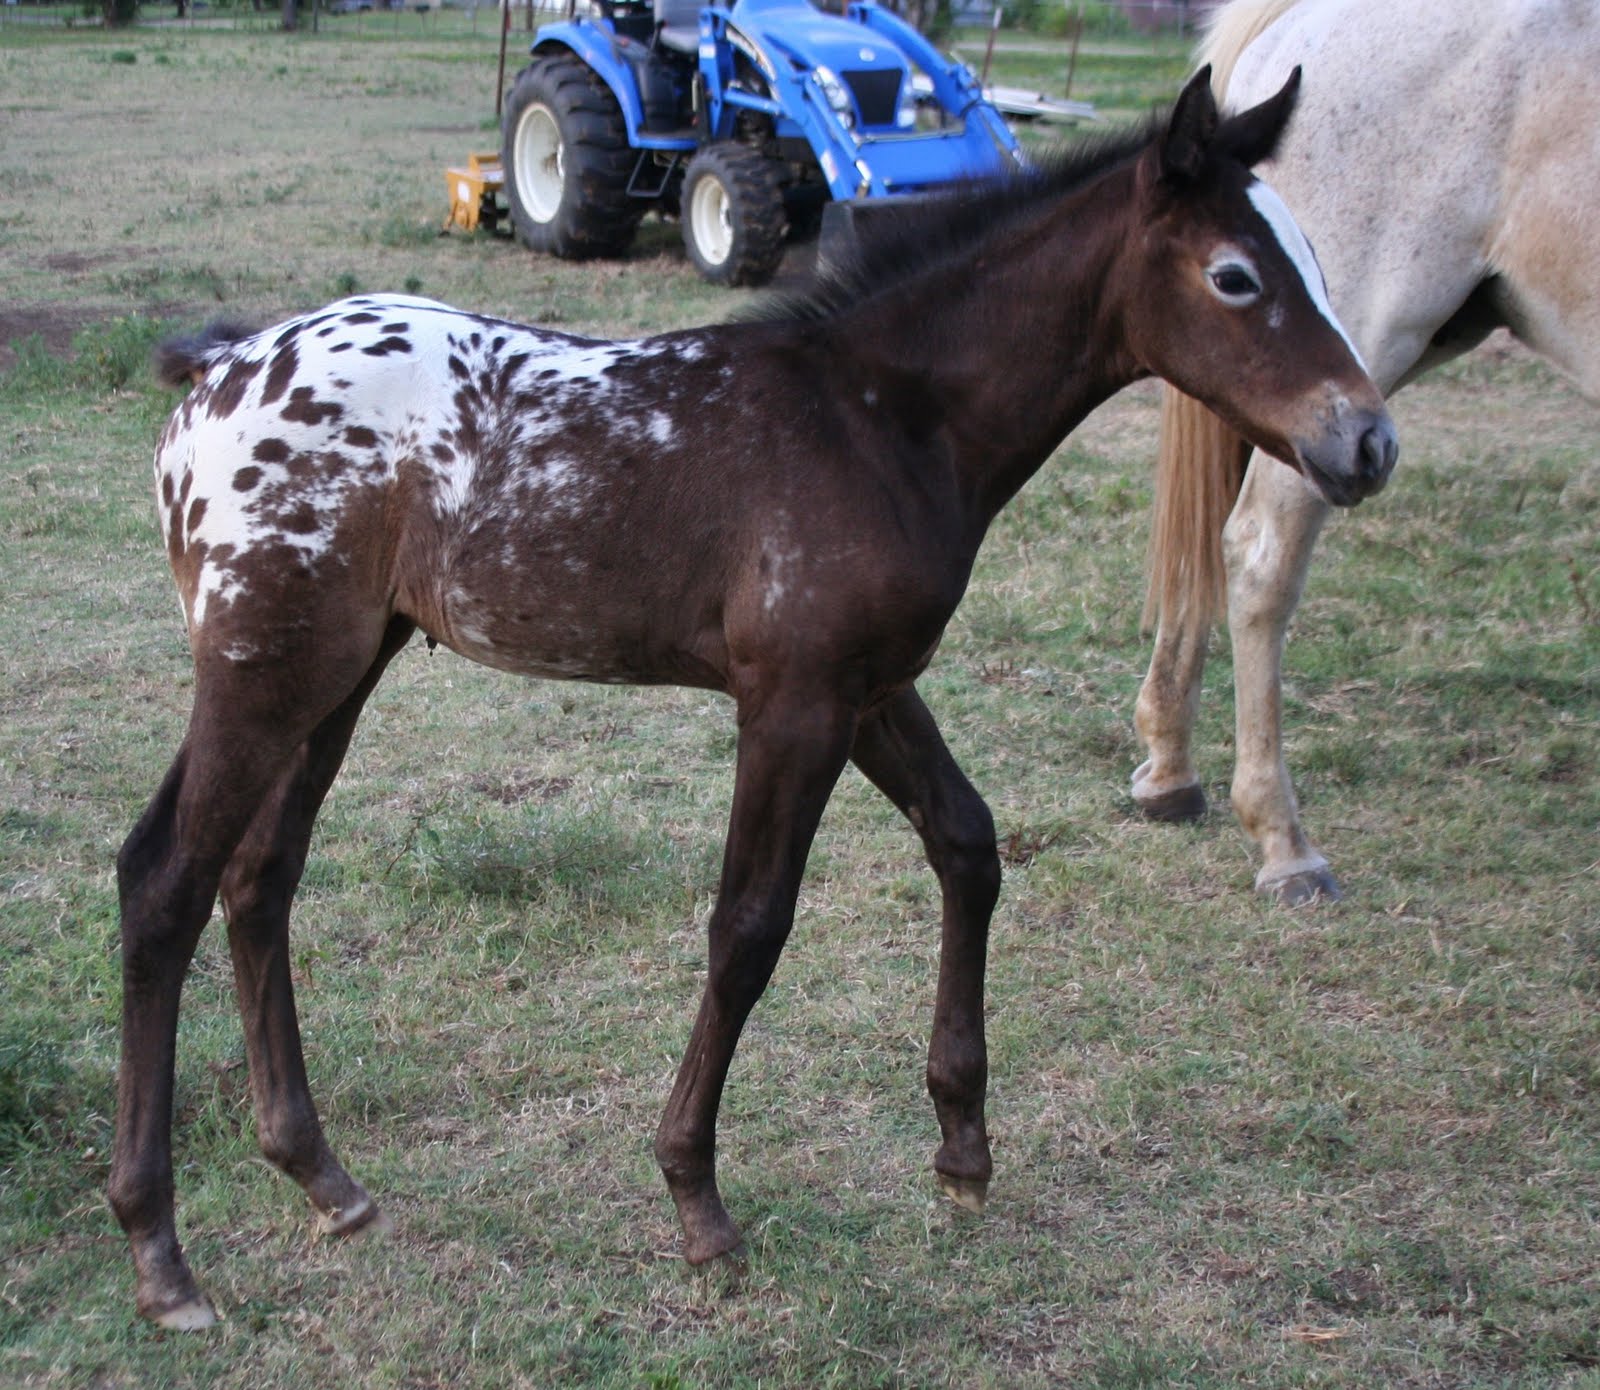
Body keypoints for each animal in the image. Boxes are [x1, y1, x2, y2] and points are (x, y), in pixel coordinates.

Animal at [111, 67, 1395, 1328]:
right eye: (1234, 276)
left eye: (1317, 265)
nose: (1368, 443)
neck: (882, 419)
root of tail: (216, 373)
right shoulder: (793, 702)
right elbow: (748, 927)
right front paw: (697, 1202)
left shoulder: (870, 687)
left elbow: (967, 844)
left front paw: (962, 1148)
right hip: (264, 668)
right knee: (163, 879)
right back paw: (162, 1255)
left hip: (337, 669)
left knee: (258, 877)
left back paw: (321, 1178)